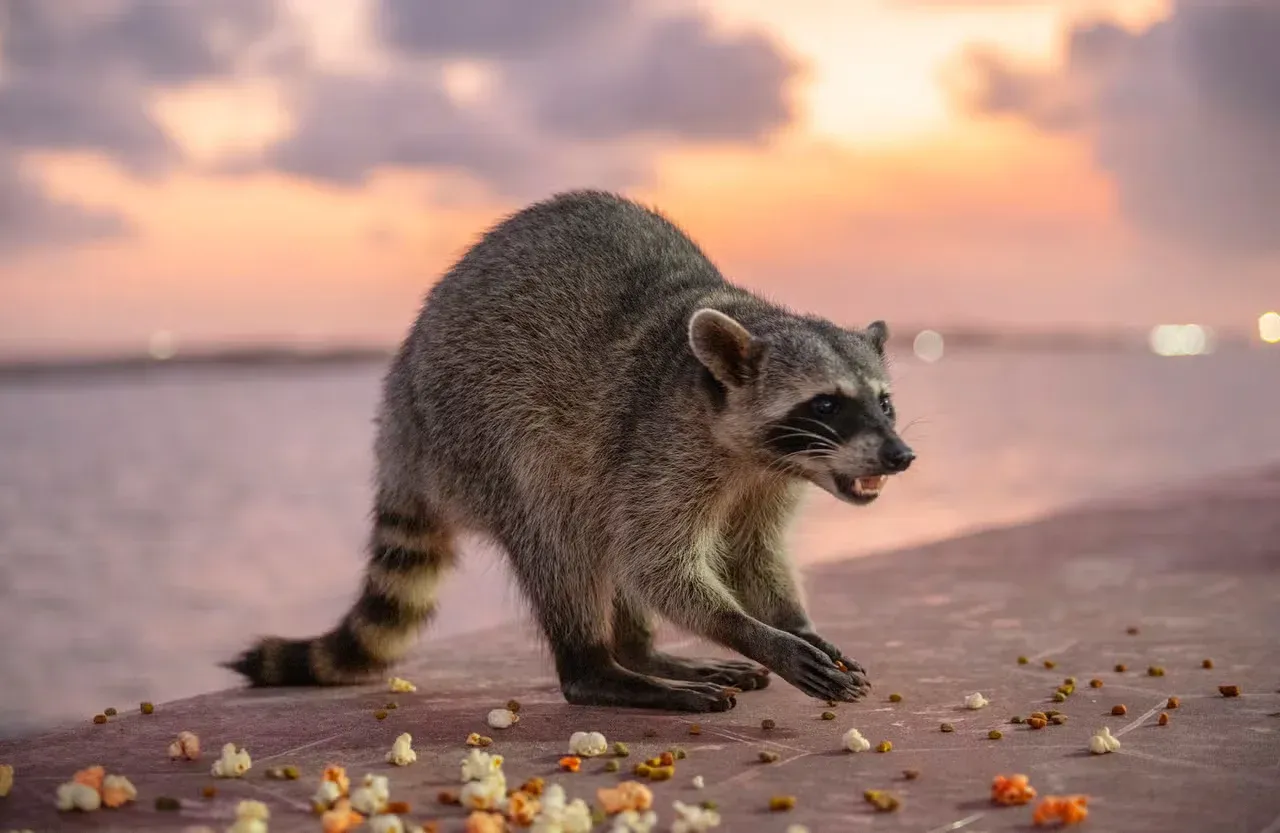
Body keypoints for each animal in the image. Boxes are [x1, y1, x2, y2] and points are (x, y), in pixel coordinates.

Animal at [226, 190, 916, 712]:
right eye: (826, 405)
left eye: (884, 402)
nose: (901, 456)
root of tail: (400, 413)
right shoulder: (660, 446)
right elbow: (656, 565)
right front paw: (751, 632)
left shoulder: (767, 481)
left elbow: (750, 554)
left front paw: (795, 625)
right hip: (479, 435)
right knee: (562, 535)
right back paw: (599, 668)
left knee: (601, 528)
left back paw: (641, 652)